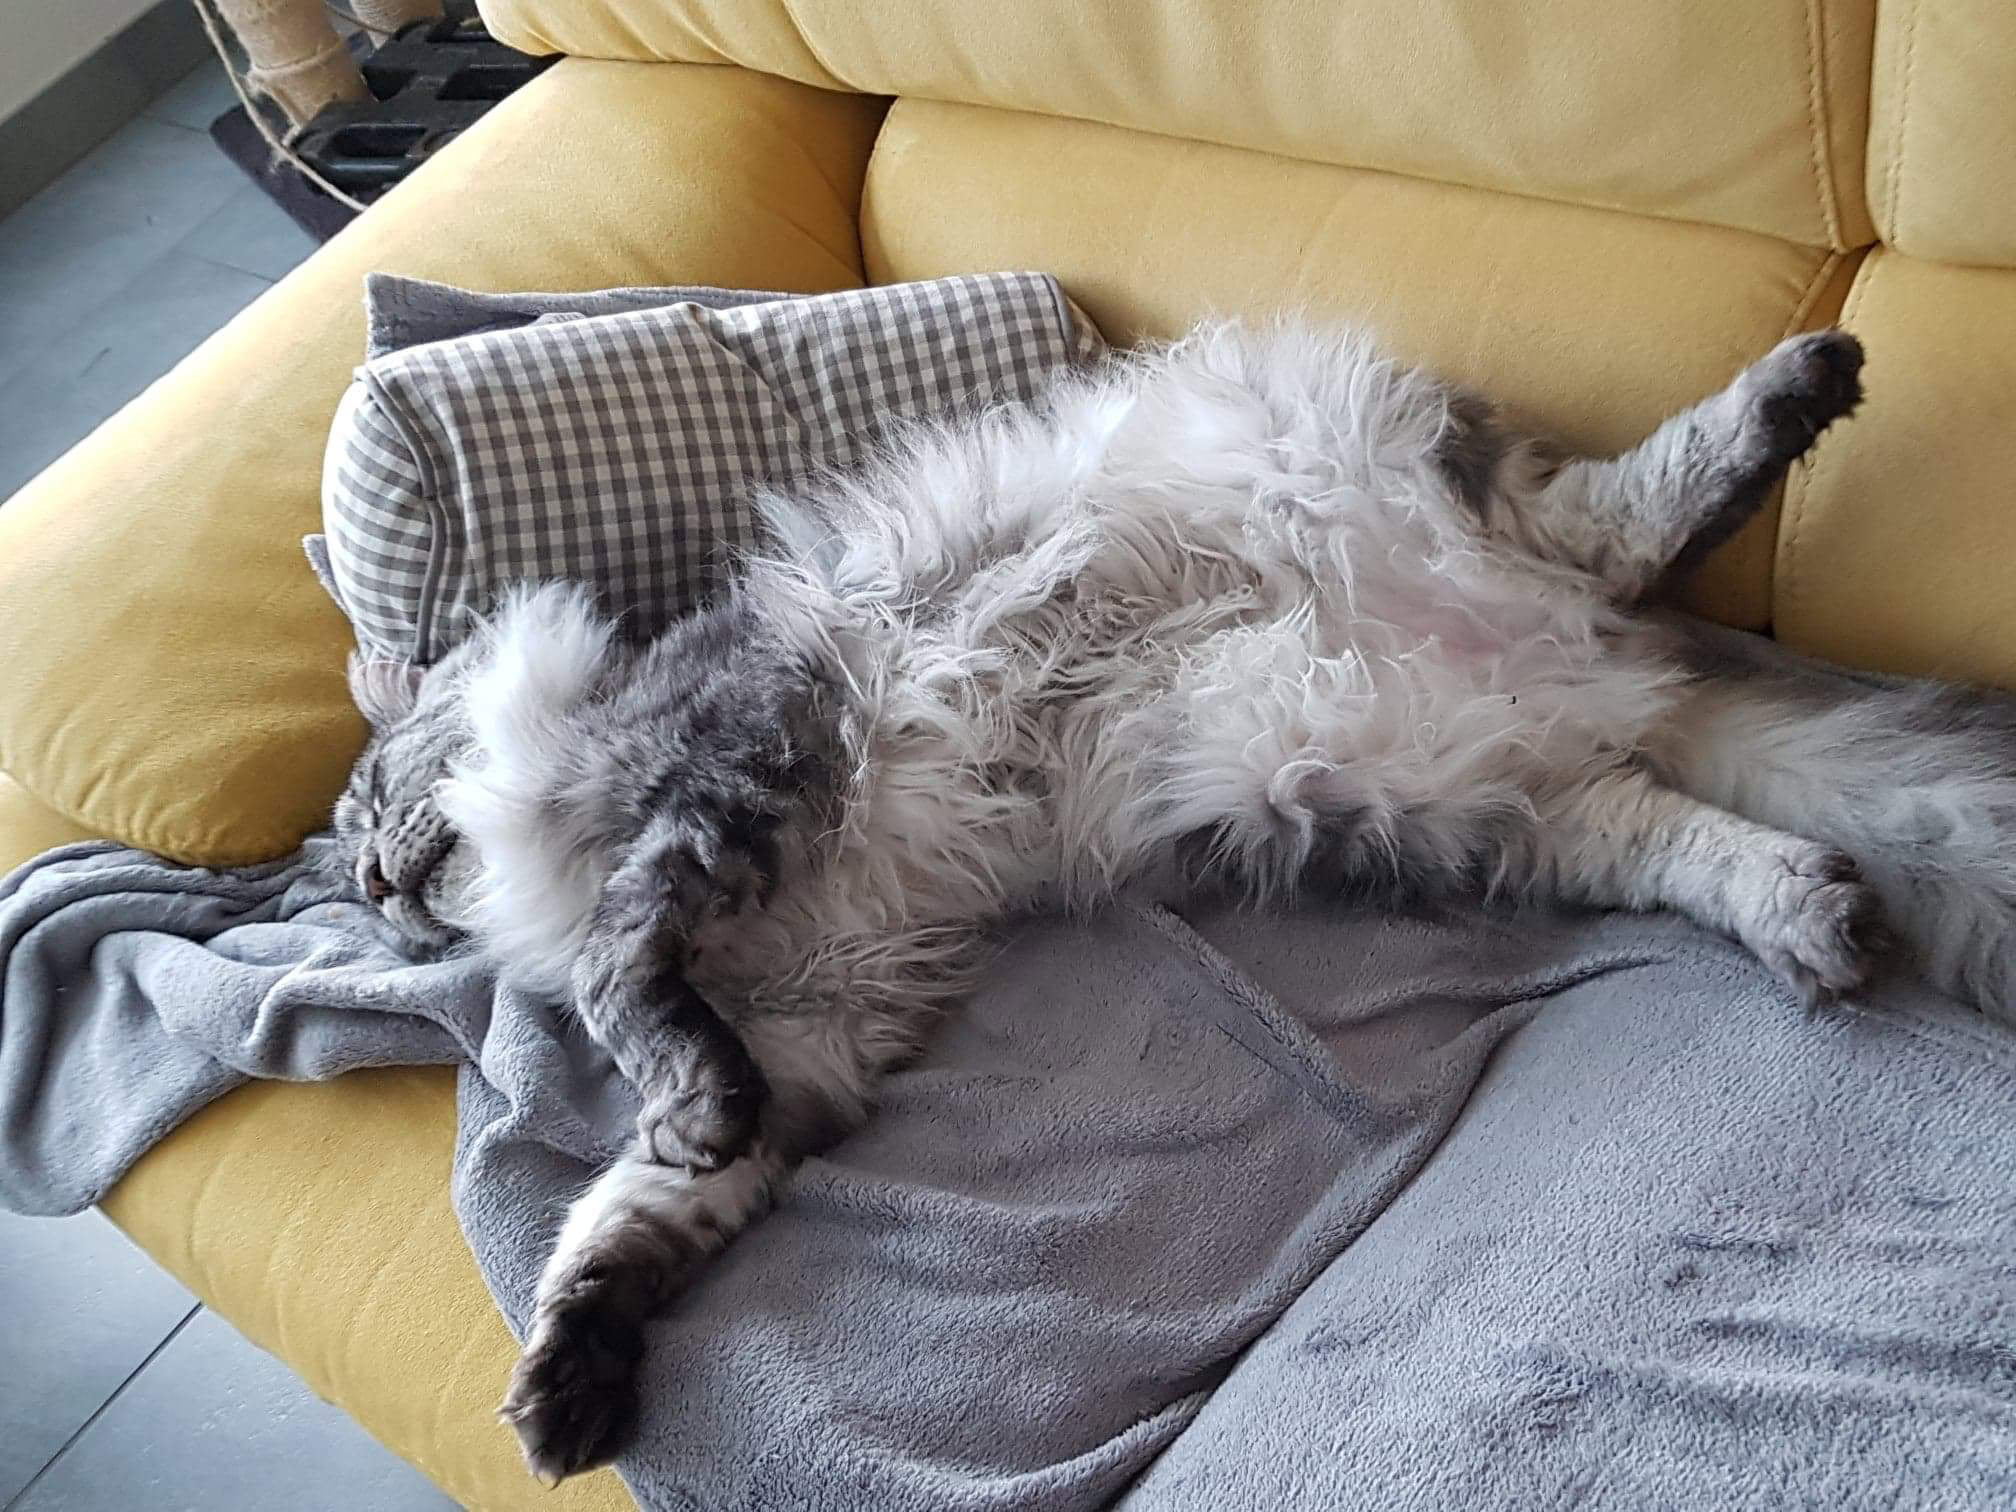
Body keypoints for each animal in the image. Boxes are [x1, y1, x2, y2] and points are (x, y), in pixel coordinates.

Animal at [330, 319, 2016, 1482]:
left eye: (357, 800)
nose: (356, 874)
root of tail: (1570, 661)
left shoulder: (731, 775)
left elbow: (627, 984)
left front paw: (651, 1075)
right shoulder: (810, 1030)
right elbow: (632, 1218)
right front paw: (567, 1391)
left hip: (1410, 508)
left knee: (1621, 518)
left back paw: (1809, 380)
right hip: (1447, 804)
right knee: (1672, 819)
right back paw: (1809, 910)